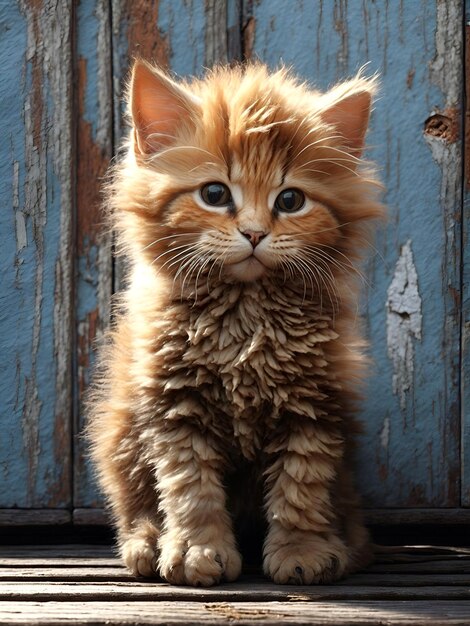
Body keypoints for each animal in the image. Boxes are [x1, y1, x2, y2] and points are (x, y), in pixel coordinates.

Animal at [86, 61, 384, 584]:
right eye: (214, 193)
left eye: (290, 200)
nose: (254, 233)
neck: (244, 319)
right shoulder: (175, 406)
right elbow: (191, 491)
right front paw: (196, 551)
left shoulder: (312, 406)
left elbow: (301, 488)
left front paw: (302, 550)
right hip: (121, 432)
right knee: (135, 503)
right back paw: (145, 543)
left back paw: (350, 546)